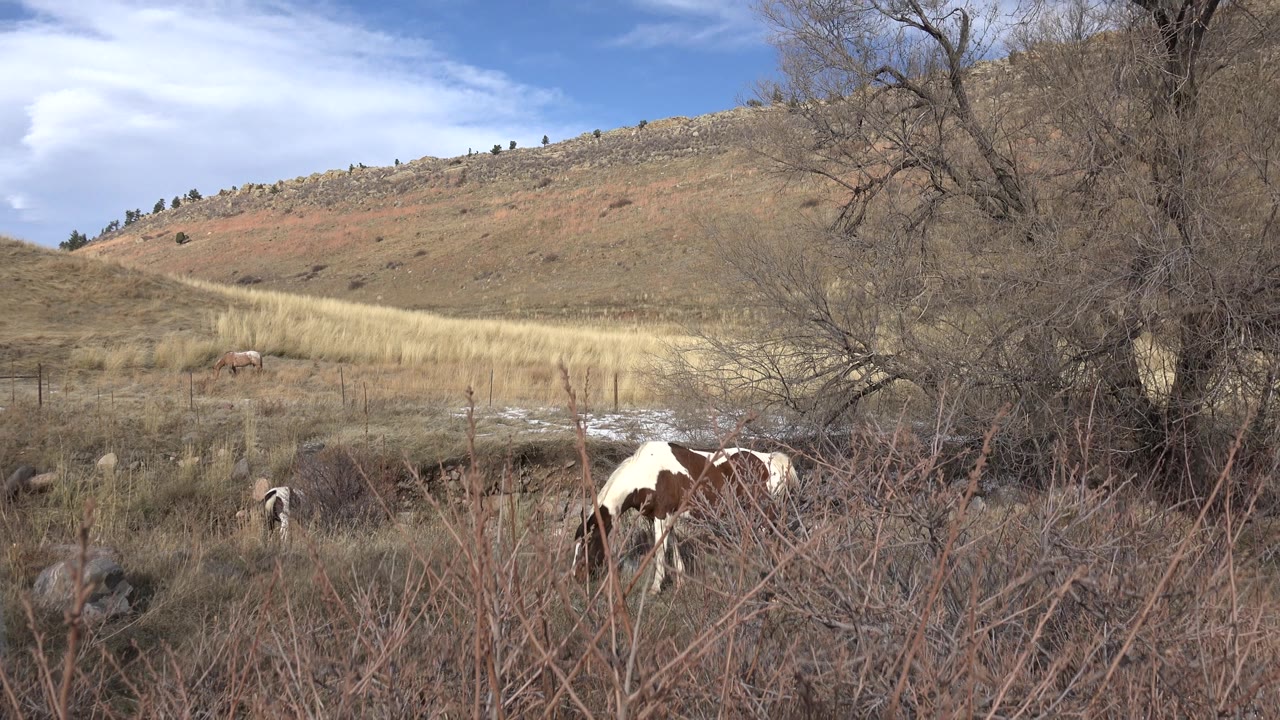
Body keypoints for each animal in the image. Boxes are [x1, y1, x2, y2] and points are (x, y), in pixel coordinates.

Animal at [572, 441, 799, 595]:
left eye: (588, 543)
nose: (576, 576)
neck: (646, 472)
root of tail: (773, 461)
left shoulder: (661, 515)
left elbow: (660, 550)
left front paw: (656, 587)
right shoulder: (666, 517)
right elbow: (673, 546)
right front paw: (680, 583)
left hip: (763, 517)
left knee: (774, 546)